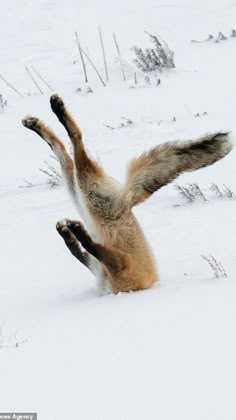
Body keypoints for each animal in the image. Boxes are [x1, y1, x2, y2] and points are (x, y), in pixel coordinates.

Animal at [22, 94, 232, 292]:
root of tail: (127, 200)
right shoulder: (102, 267)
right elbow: (78, 250)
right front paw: (68, 232)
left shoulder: (118, 267)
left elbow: (88, 247)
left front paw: (75, 231)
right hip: (81, 193)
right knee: (62, 148)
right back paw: (37, 123)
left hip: (87, 193)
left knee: (76, 140)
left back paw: (56, 110)